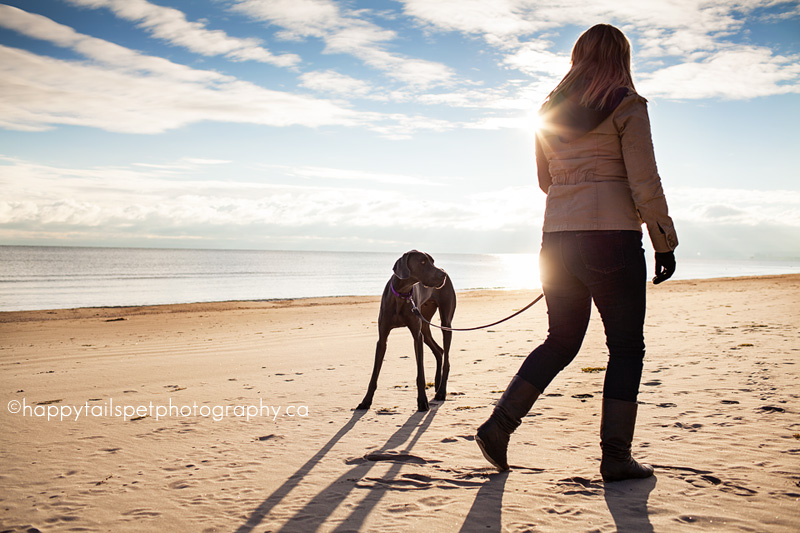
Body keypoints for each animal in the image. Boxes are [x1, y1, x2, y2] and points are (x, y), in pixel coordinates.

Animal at [356, 249, 456, 412]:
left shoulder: (417, 337)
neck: (402, 293)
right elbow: (374, 375)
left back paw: (441, 391)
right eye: (423, 262)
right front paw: (366, 401)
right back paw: (437, 382)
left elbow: (420, 374)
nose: (443, 275)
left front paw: (422, 401)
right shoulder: (382, 338)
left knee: (446, 356)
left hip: (445, 324)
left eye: (433, 261)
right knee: (439, 350)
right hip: (425, 325)